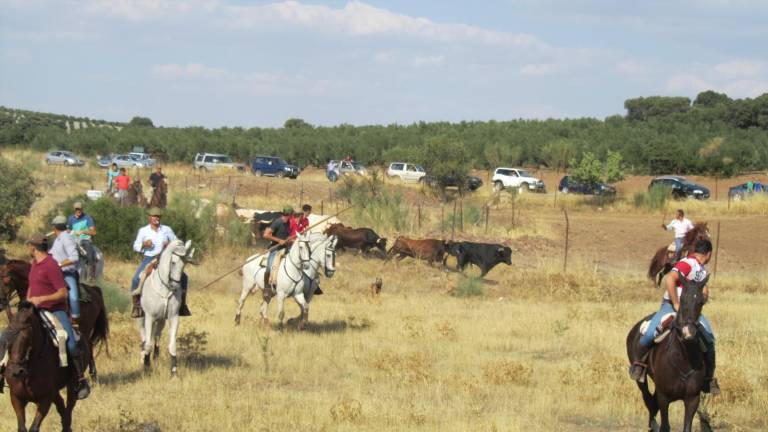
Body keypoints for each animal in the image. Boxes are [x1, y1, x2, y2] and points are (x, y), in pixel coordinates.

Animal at [0, 302, 87, 430]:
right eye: (7, 335)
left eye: (27, 337)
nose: (16, 371)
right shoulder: (16, 397)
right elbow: (22, 427)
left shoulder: (45, 398)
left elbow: (34, 427)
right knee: (61, 405)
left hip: (71, 385)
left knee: (69, 407)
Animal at [140, 240, 195, 374]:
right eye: (173, 262)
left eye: (184, 265)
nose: (175, 286)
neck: (164, 288)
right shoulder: (149, 317)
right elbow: (148, 344)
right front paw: (146, 365)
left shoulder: (173, 317)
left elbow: (172, 345)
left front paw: (174, 372)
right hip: (143, 319)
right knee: (145, 337)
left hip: (161, 320)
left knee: (157, 336)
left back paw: (155, 356)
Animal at [628, 276, 712, 432]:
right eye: (682, 299)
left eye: (701, 302)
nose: (688, 332)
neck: (683, 358)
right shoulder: (664, 397)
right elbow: (665, 426)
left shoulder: (693, 398)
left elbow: (687, 427)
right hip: (641, 380)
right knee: (648, 399)